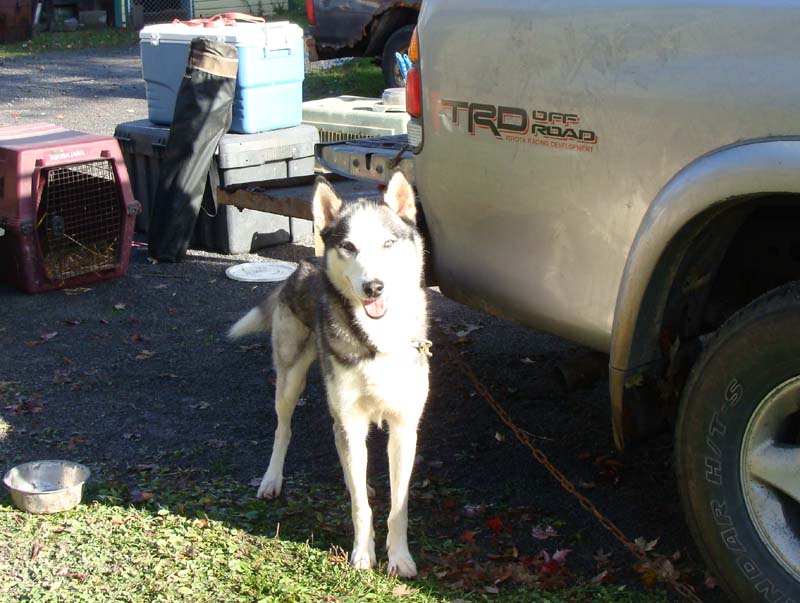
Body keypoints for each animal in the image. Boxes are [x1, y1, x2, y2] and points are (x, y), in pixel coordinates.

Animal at [230, 172, 432, 580]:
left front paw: (399, 557)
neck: (378, 339)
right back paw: (272, 480)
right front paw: (362, 555)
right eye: (349, 247)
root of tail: (305, 263)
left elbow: (399, 506)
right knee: (284, 429)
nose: (374, 287)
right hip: (290, 381)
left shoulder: (404, 428)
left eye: (388, 243)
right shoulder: (350, 420)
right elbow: (359, 508)